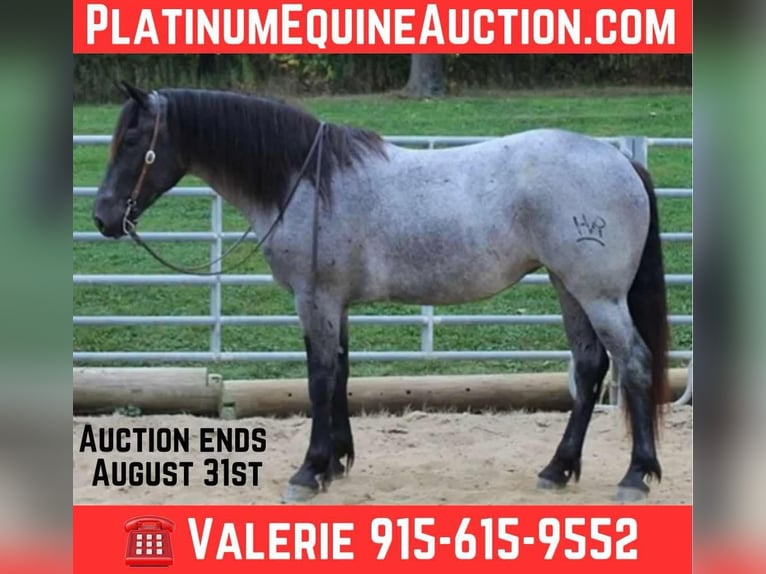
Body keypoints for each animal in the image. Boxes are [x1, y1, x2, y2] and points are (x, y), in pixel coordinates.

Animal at [92, 82, 671, 503]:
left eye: (132, 141)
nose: (102, 218)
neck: (305, 182)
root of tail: (618, 160)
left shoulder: (315, 300)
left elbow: (319, 379)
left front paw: (309, 472)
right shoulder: (335, 304)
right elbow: (341, 374)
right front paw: (337, 463)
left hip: (598, 295)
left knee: (634, 363)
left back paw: (636, 476)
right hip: (567, 286)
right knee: (591, 367)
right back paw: (557, 468)